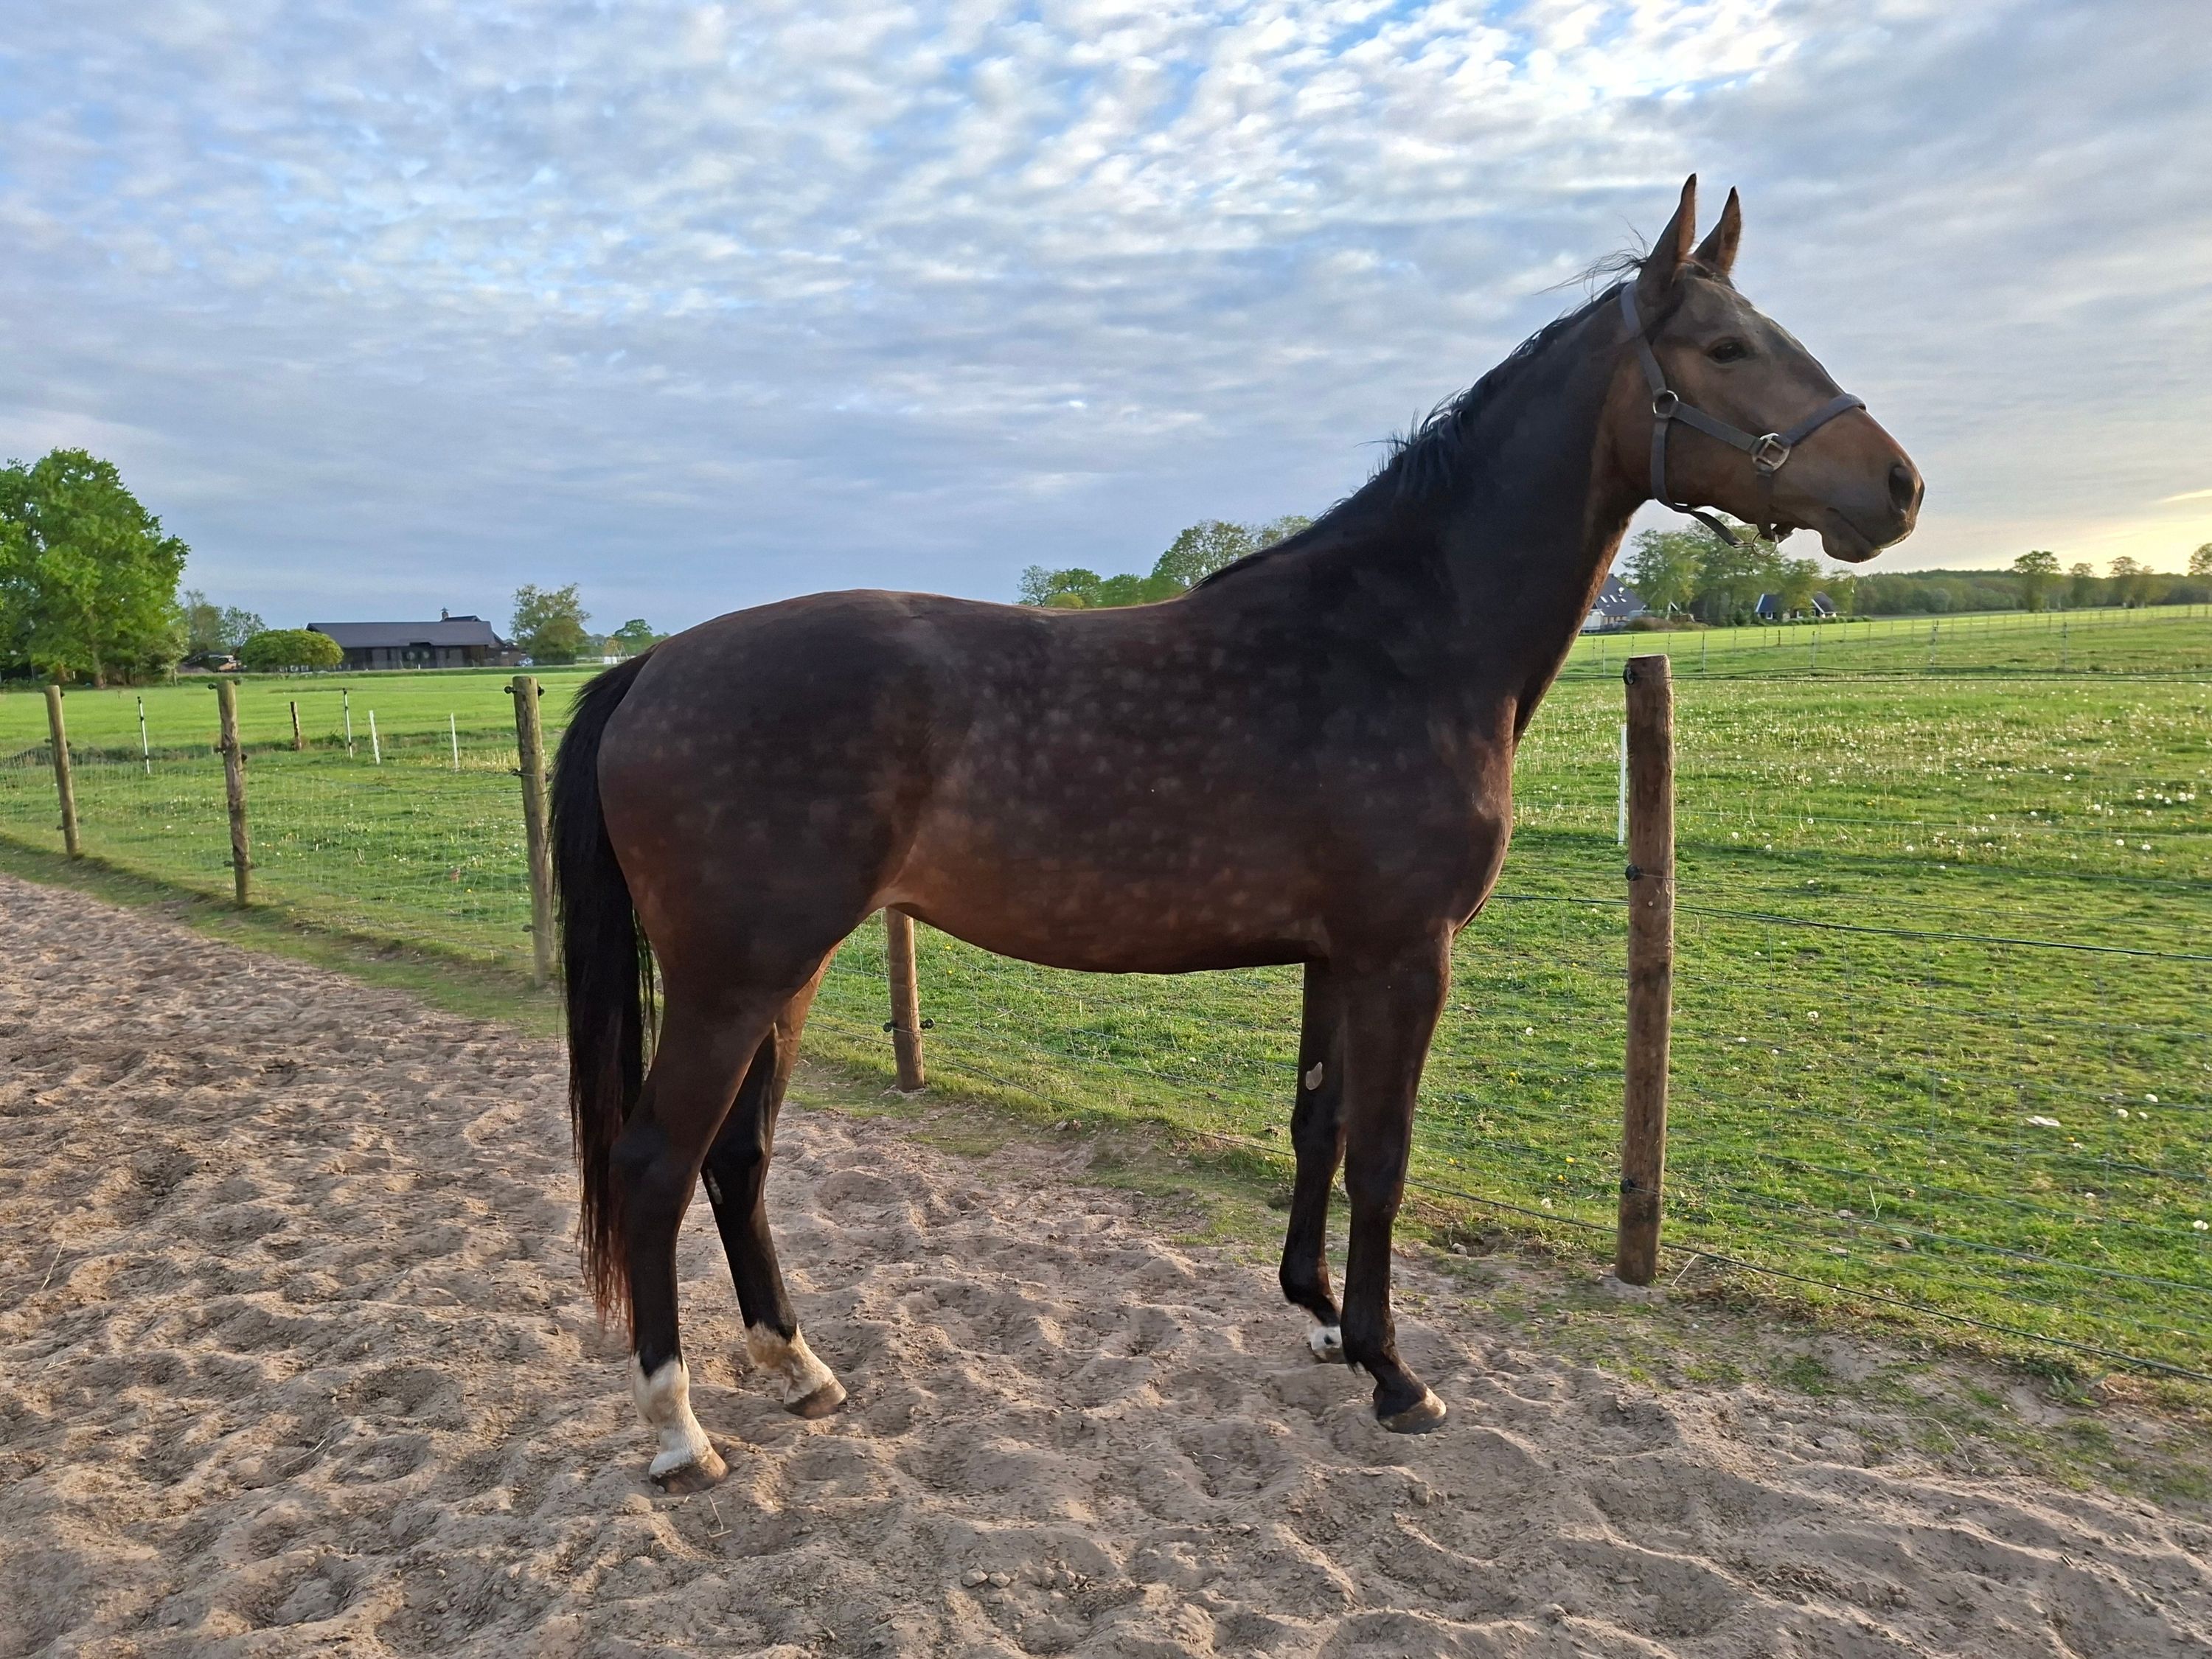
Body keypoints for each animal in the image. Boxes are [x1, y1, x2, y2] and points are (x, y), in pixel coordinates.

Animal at [550, 177, 1922, 1489]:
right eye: (1727, 347)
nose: (1901, 489)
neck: (1403, 636)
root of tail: (653, 668)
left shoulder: (1335, 956)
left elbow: (1319, 1126)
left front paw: (1318, 1318)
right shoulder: (1405, 953)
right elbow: (1384, 1152)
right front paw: (1393, 1371)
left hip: (784, 976)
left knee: (739, 1159)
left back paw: (797, 1368)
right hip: (738, 979)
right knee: (657, 1163)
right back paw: (680, 1430)